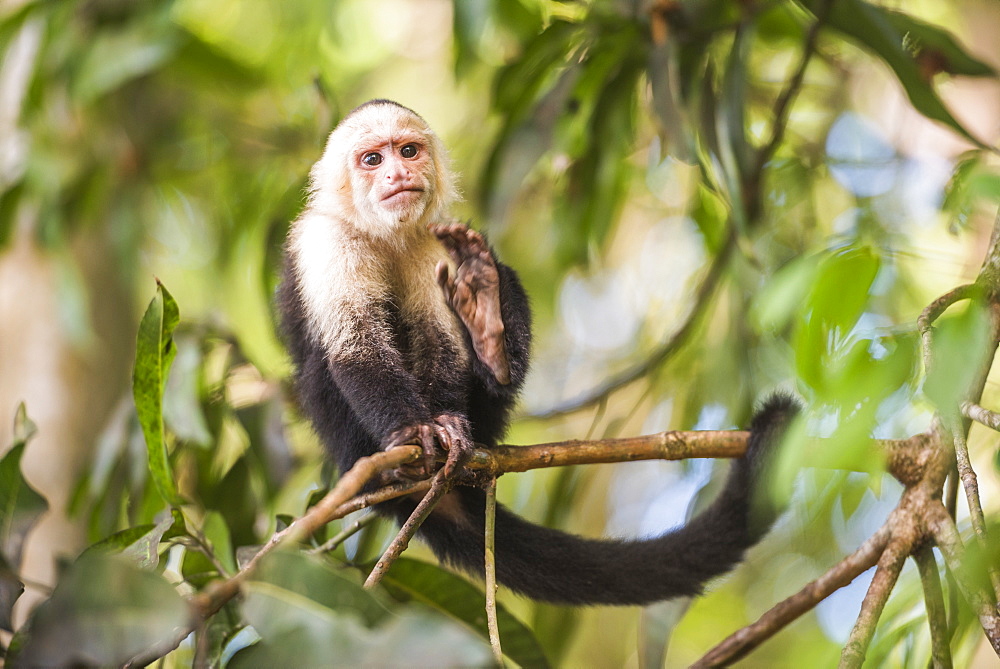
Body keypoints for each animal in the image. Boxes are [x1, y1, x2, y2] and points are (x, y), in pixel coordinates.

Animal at [278, 99, 800, 604]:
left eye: (408, 151)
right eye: (372, 160)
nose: (396, 175)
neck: (384, 234)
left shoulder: (433, 243)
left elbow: (438, 341)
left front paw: (446, 421)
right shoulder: (326, 245)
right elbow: (356, 347)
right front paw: (413, 430)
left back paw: (489, 330)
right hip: (346, 442)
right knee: (322, 366)